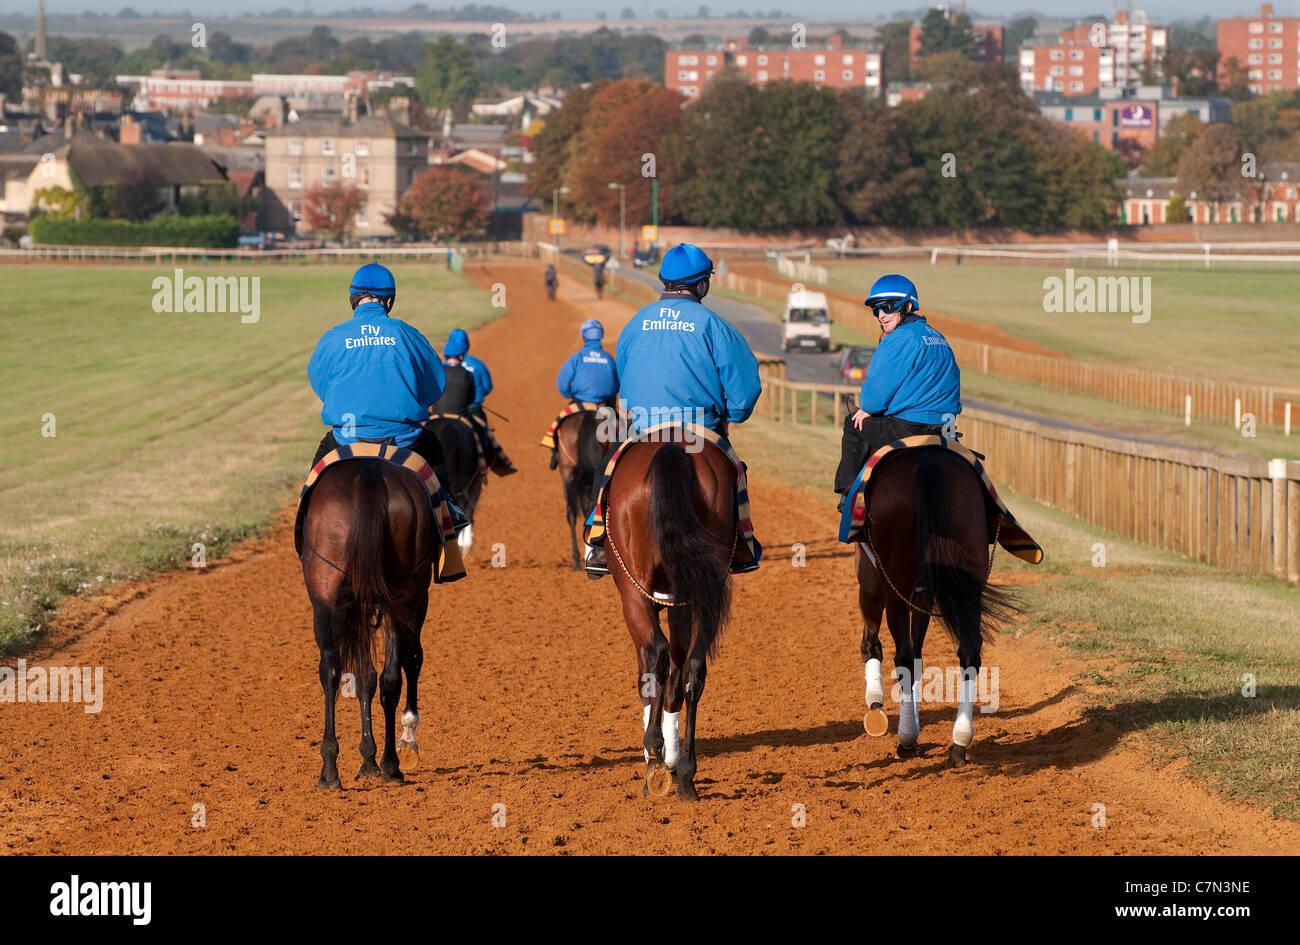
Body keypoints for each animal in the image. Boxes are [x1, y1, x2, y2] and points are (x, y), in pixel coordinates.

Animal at [297, 460, 431, 790]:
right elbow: (397, 666)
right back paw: (390, 765)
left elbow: (364, 676)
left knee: (331, 671)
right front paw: (385, 753)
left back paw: (331, 769)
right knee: (390, 676)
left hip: (327, 597)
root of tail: (370, 477)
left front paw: (371, 757)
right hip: (402, 594)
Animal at [603, 426, 738, 800]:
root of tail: (672, 448)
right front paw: (676, 764)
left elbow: (648, 675)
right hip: (700, 589)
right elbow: (678, 680)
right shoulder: (683, 601)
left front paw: (658, 757)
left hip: (634, 591)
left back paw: (655, 757)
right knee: (693, 669)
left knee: (657, 655)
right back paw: (687, 773)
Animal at [857, 444, 1019, 769]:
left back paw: (907, 740)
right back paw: (960, 742)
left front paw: (876, 701)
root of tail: (928, 464)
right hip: (969, 574)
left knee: (903, 657)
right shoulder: (924, 593)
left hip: (895, 582)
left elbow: (876, 644)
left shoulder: (871, 573)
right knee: (969, 653)